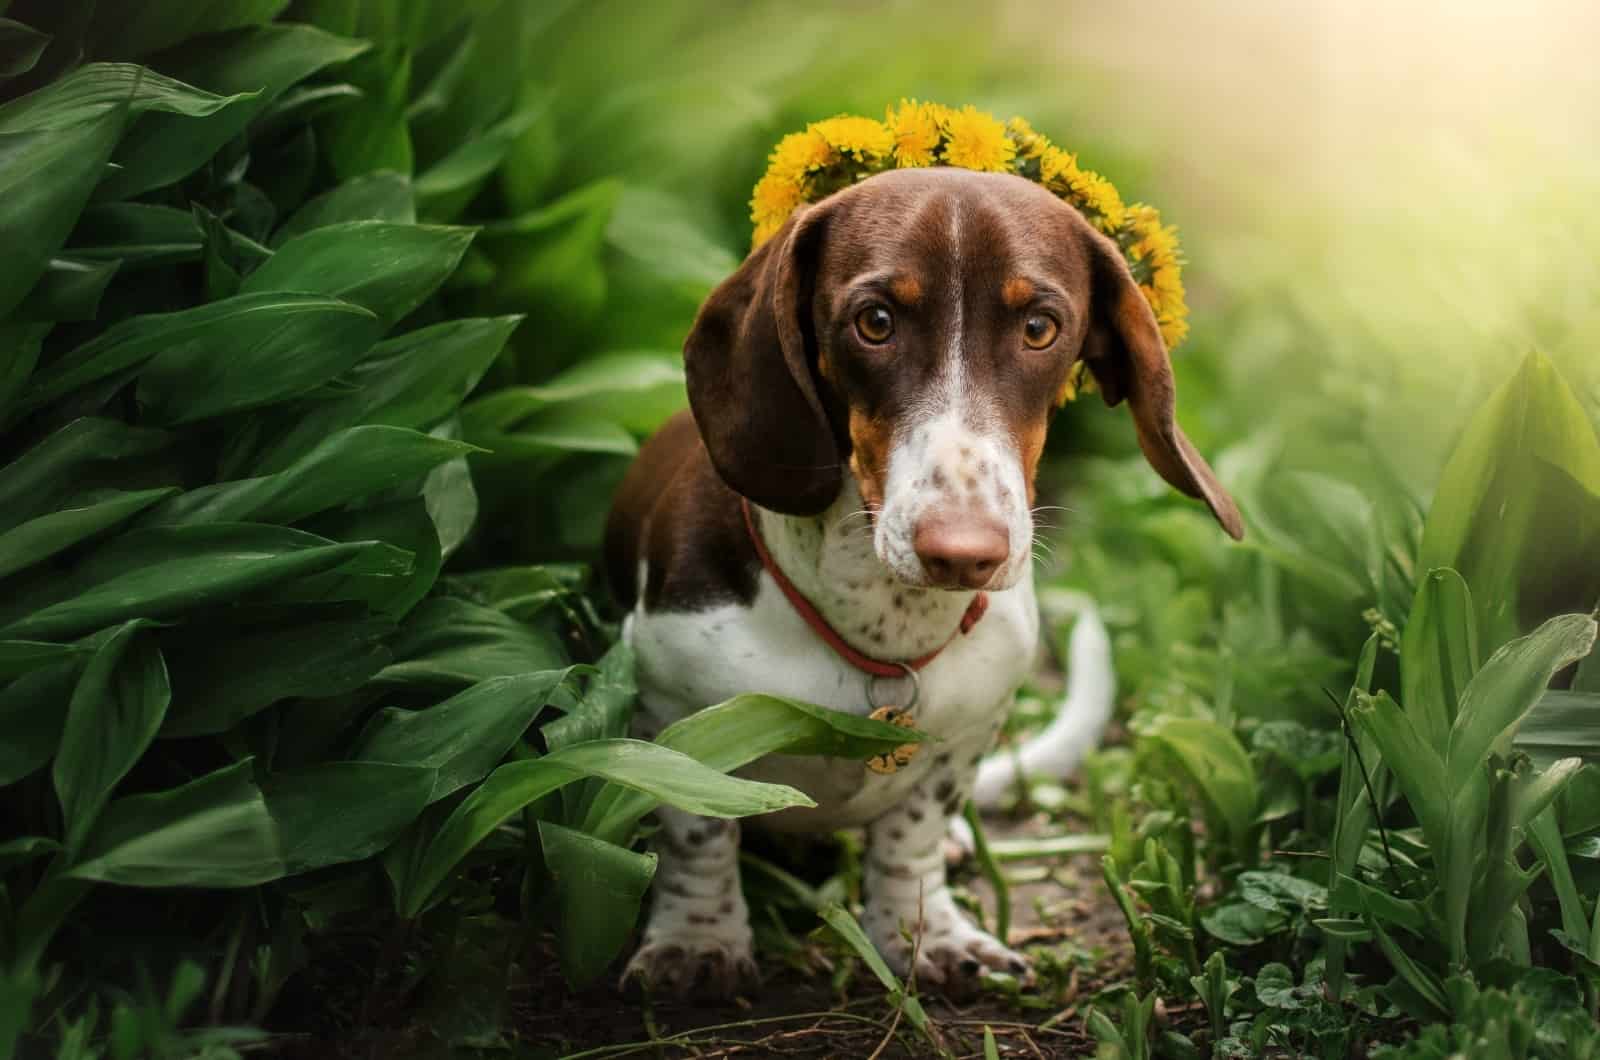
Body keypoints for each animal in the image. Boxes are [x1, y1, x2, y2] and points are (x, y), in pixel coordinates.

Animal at [601, 164, 1235, 999]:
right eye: (874, 321)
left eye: (1040, 328)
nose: (964, 553)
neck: (883, 625)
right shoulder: (674, 709)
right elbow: (697, 825)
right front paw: (696, 941)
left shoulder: (963, 737)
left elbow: (913, 836)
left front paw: (925, 934)